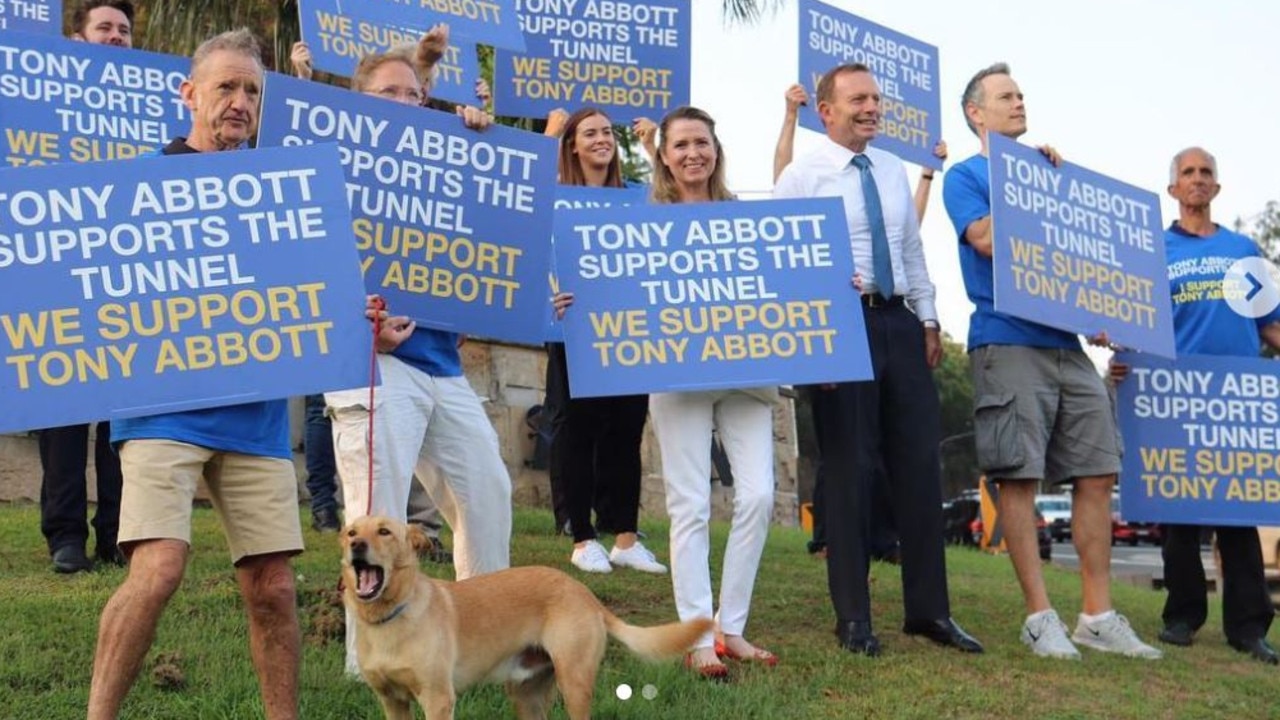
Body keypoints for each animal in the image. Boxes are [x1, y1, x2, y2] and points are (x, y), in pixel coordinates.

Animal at [340, 515, 716, 717]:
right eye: (351, 532)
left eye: (384, 531)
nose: (356, 545)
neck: (388, 620)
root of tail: (585, 593)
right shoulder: (391, 701)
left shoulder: (438, 700)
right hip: (526, 693)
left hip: (574, 683)